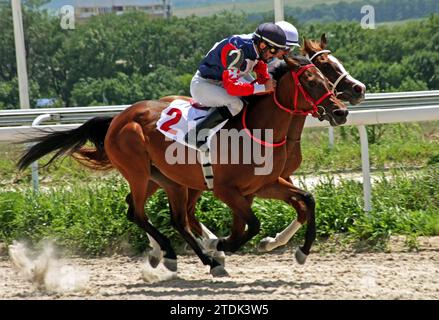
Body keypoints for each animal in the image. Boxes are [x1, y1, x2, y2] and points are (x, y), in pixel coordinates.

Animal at [17, 54, 348, 276]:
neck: (260, 129)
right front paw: (223, 246)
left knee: (171, 217)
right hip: (140, 174)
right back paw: (186, 255)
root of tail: (120, 118)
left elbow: (307, 200)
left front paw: (301, 251)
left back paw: (186, 256)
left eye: (326, 79)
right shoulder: (227, 191)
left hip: (167, 180)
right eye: (310, 81)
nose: (341, 111)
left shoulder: (264, 185)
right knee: (141, 213)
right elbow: (251, 224)